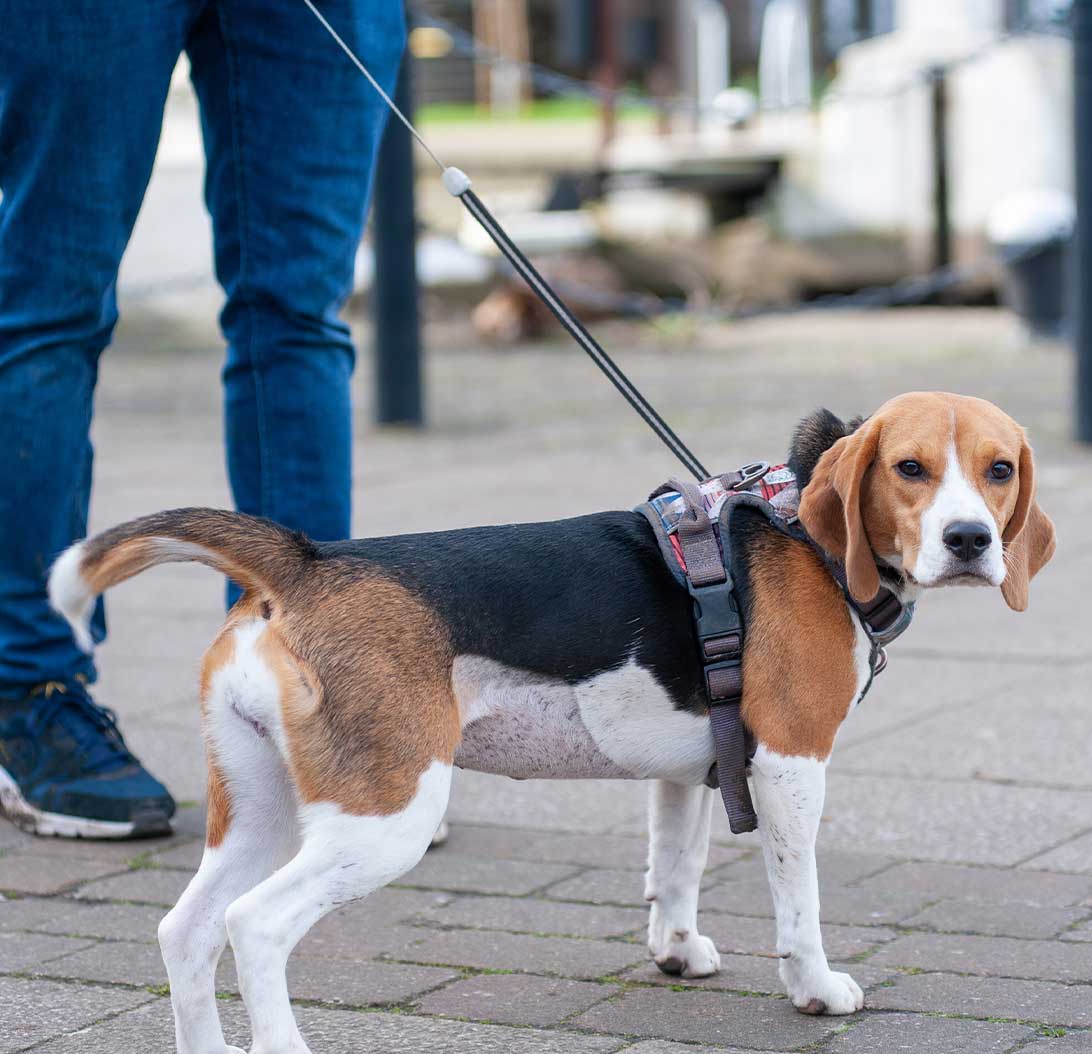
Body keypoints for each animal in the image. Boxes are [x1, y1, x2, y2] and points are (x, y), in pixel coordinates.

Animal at [46, 391, 1052, 1048]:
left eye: (998, 471)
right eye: (909, 469)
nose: (971, 540)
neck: (800, 525)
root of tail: (308, 562)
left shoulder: (691, 768)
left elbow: (674, 868)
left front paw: (676, 952)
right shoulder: (789, 764)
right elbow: (797, 899)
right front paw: (815, 988)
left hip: (258, 808)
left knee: (188, 931)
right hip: (383, 818)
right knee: (254, 926)